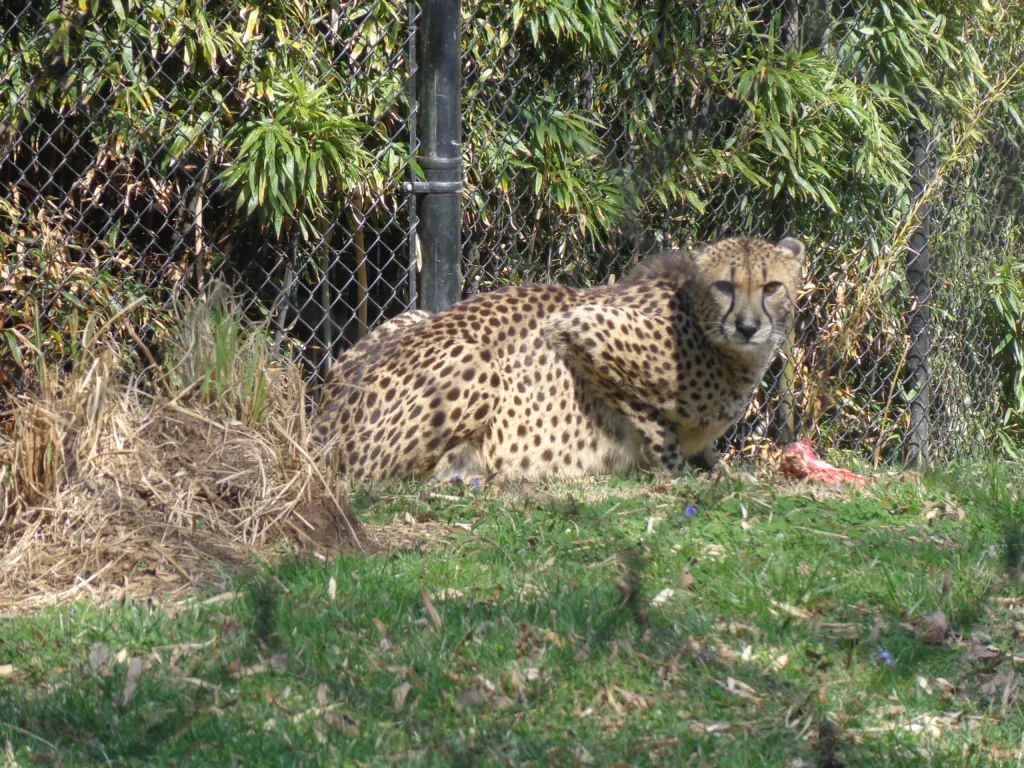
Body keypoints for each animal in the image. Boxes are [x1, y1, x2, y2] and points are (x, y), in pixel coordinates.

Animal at [313, 236, 806, 483]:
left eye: (771, 287)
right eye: (725, 285)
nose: (748, 326)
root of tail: (323, 418)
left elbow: (704, 446)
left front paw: (722, 469)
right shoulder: (582, 325)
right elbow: (654, 425)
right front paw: (679, 474)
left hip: (415, 314)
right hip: (477, 361)